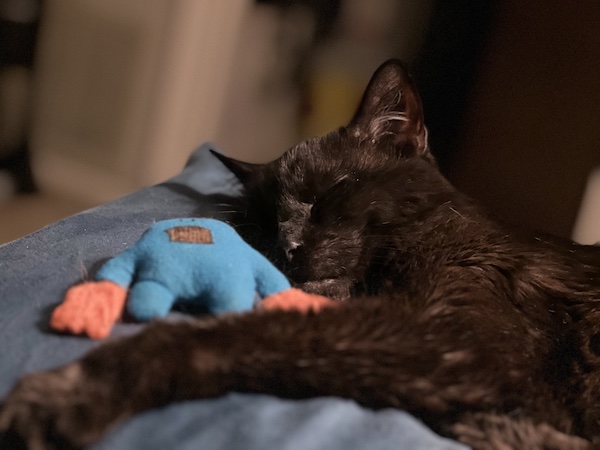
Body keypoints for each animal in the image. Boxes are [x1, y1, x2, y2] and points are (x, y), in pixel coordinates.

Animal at [1, 60, 600, 450]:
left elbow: (252, 338)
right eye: (262, 225)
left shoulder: (468, 338)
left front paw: (69, 392)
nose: (286, 246)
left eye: (321, 197)